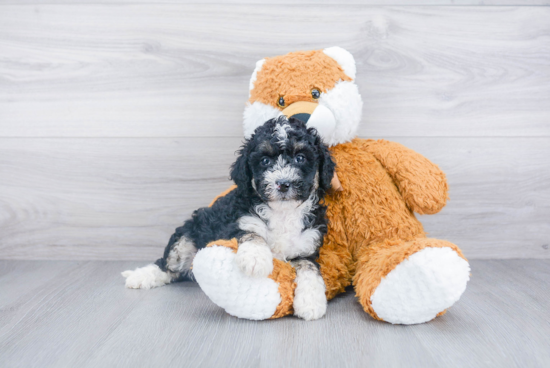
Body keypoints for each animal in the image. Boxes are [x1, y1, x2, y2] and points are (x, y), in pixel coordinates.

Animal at [122, 117, 334, 320]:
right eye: (265, 161)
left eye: (300, 158)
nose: (283, 183)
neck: (283, 212)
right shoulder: (237, 222)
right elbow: (252, 234)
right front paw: (255, 258)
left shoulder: (306, 246)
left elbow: (310, 268)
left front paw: (311, 302)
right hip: (187, 236)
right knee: (167, 265)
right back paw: (139, 276)